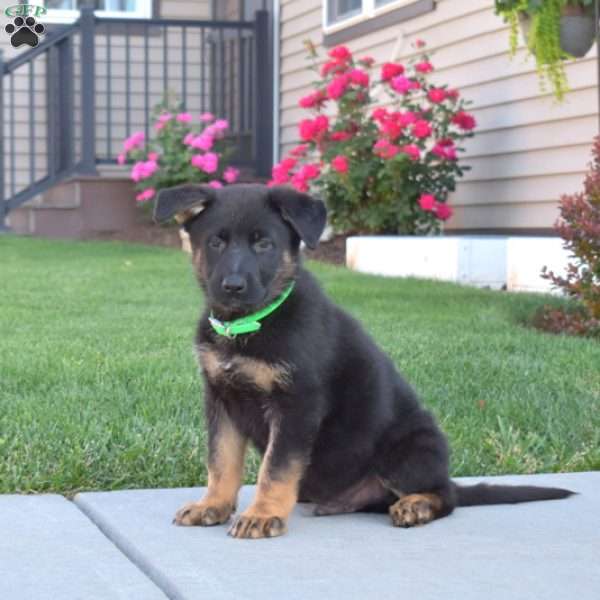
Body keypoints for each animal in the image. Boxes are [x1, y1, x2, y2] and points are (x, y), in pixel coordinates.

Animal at [154, 182, 572, 540]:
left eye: (264, 244)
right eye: (216, 242)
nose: (233, 287)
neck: (248, 325)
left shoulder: (297, 405)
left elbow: (275, 468)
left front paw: (262, 514)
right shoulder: (221, 399)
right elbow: (221, 461)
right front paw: (213, 505)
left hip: (408, 447)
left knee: (447, 495)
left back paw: (416, 505)